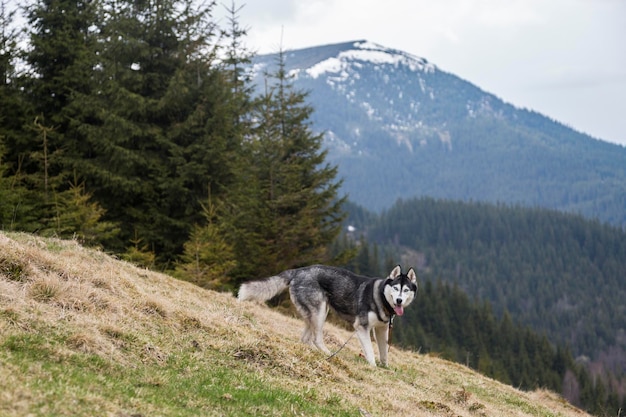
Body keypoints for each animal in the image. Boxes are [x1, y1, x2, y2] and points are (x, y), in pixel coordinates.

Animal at [236, 264, 416, 366]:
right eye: (395, 288)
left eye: (406, 290)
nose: (399, 300)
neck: (381, 296)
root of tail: (298, 270)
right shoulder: (361, 327)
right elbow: (370, 352)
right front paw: (373, 366)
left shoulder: (382, 330)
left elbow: (384, 352)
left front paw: (385, 368)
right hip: (320, 312)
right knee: (316, 339)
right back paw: (327, 354)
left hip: (317, 313)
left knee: (305, 338)